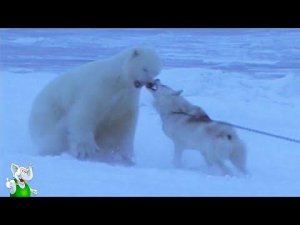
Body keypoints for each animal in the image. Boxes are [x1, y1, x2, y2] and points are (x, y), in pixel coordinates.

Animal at [28, 47, 162, 164]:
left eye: (156, 71)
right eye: (145, 68)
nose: (150, 83)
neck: (118, 80)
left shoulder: (125, 98)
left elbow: (122, 123)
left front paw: (124, 155)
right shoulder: (98, 88)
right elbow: (84, 113)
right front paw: (85, 150)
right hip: (49, 114)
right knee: (53, 137)